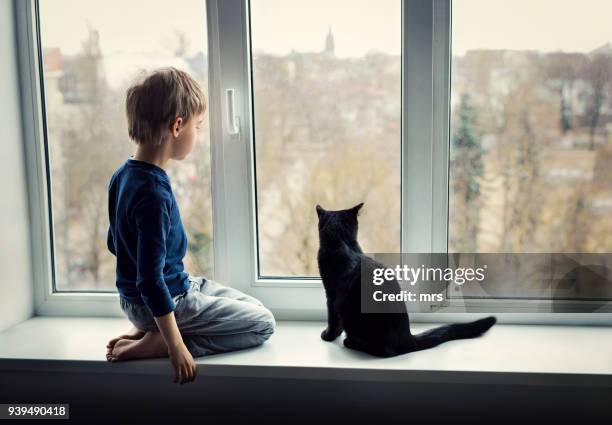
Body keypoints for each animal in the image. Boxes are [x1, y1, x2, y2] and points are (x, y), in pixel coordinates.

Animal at [316, 200, 498, 356]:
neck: (343, 241)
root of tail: (407, 337)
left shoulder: (331, 295)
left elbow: (333, 318)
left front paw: (328, 335)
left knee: (384, 352)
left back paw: (351, 342)